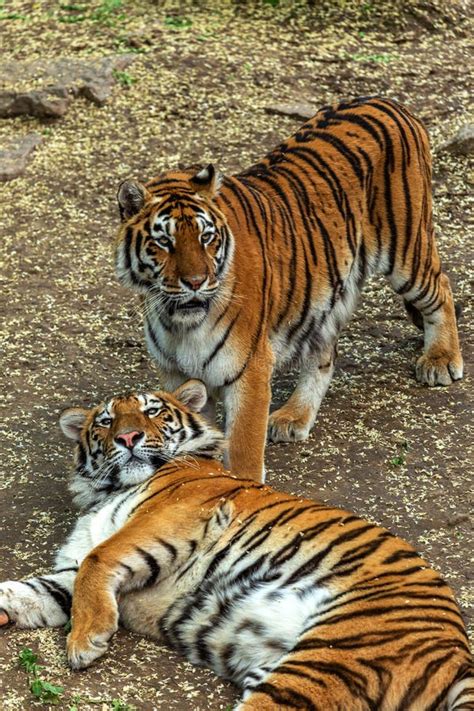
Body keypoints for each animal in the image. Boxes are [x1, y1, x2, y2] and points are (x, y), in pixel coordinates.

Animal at [0, 384, 474, 711]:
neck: (106, 491)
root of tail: (457, 650)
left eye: (152, 411)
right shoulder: (69, 570)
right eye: (104, 421)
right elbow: (31, 590)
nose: (129, 438)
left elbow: (99, 560)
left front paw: (86, 640)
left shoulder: (169, 516)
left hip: (333, 657)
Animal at [115, 96, 462, 484]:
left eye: (206, 237)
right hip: (326, 293)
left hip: (405, 252)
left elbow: (243, 453)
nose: (196, 282)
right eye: (165, 242)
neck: (178, 320)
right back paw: (294, 416)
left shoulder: (250, 369)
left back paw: (441, 360)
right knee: (324, 355)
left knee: (441, 288)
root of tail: (384, 100)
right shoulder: (175, 373)